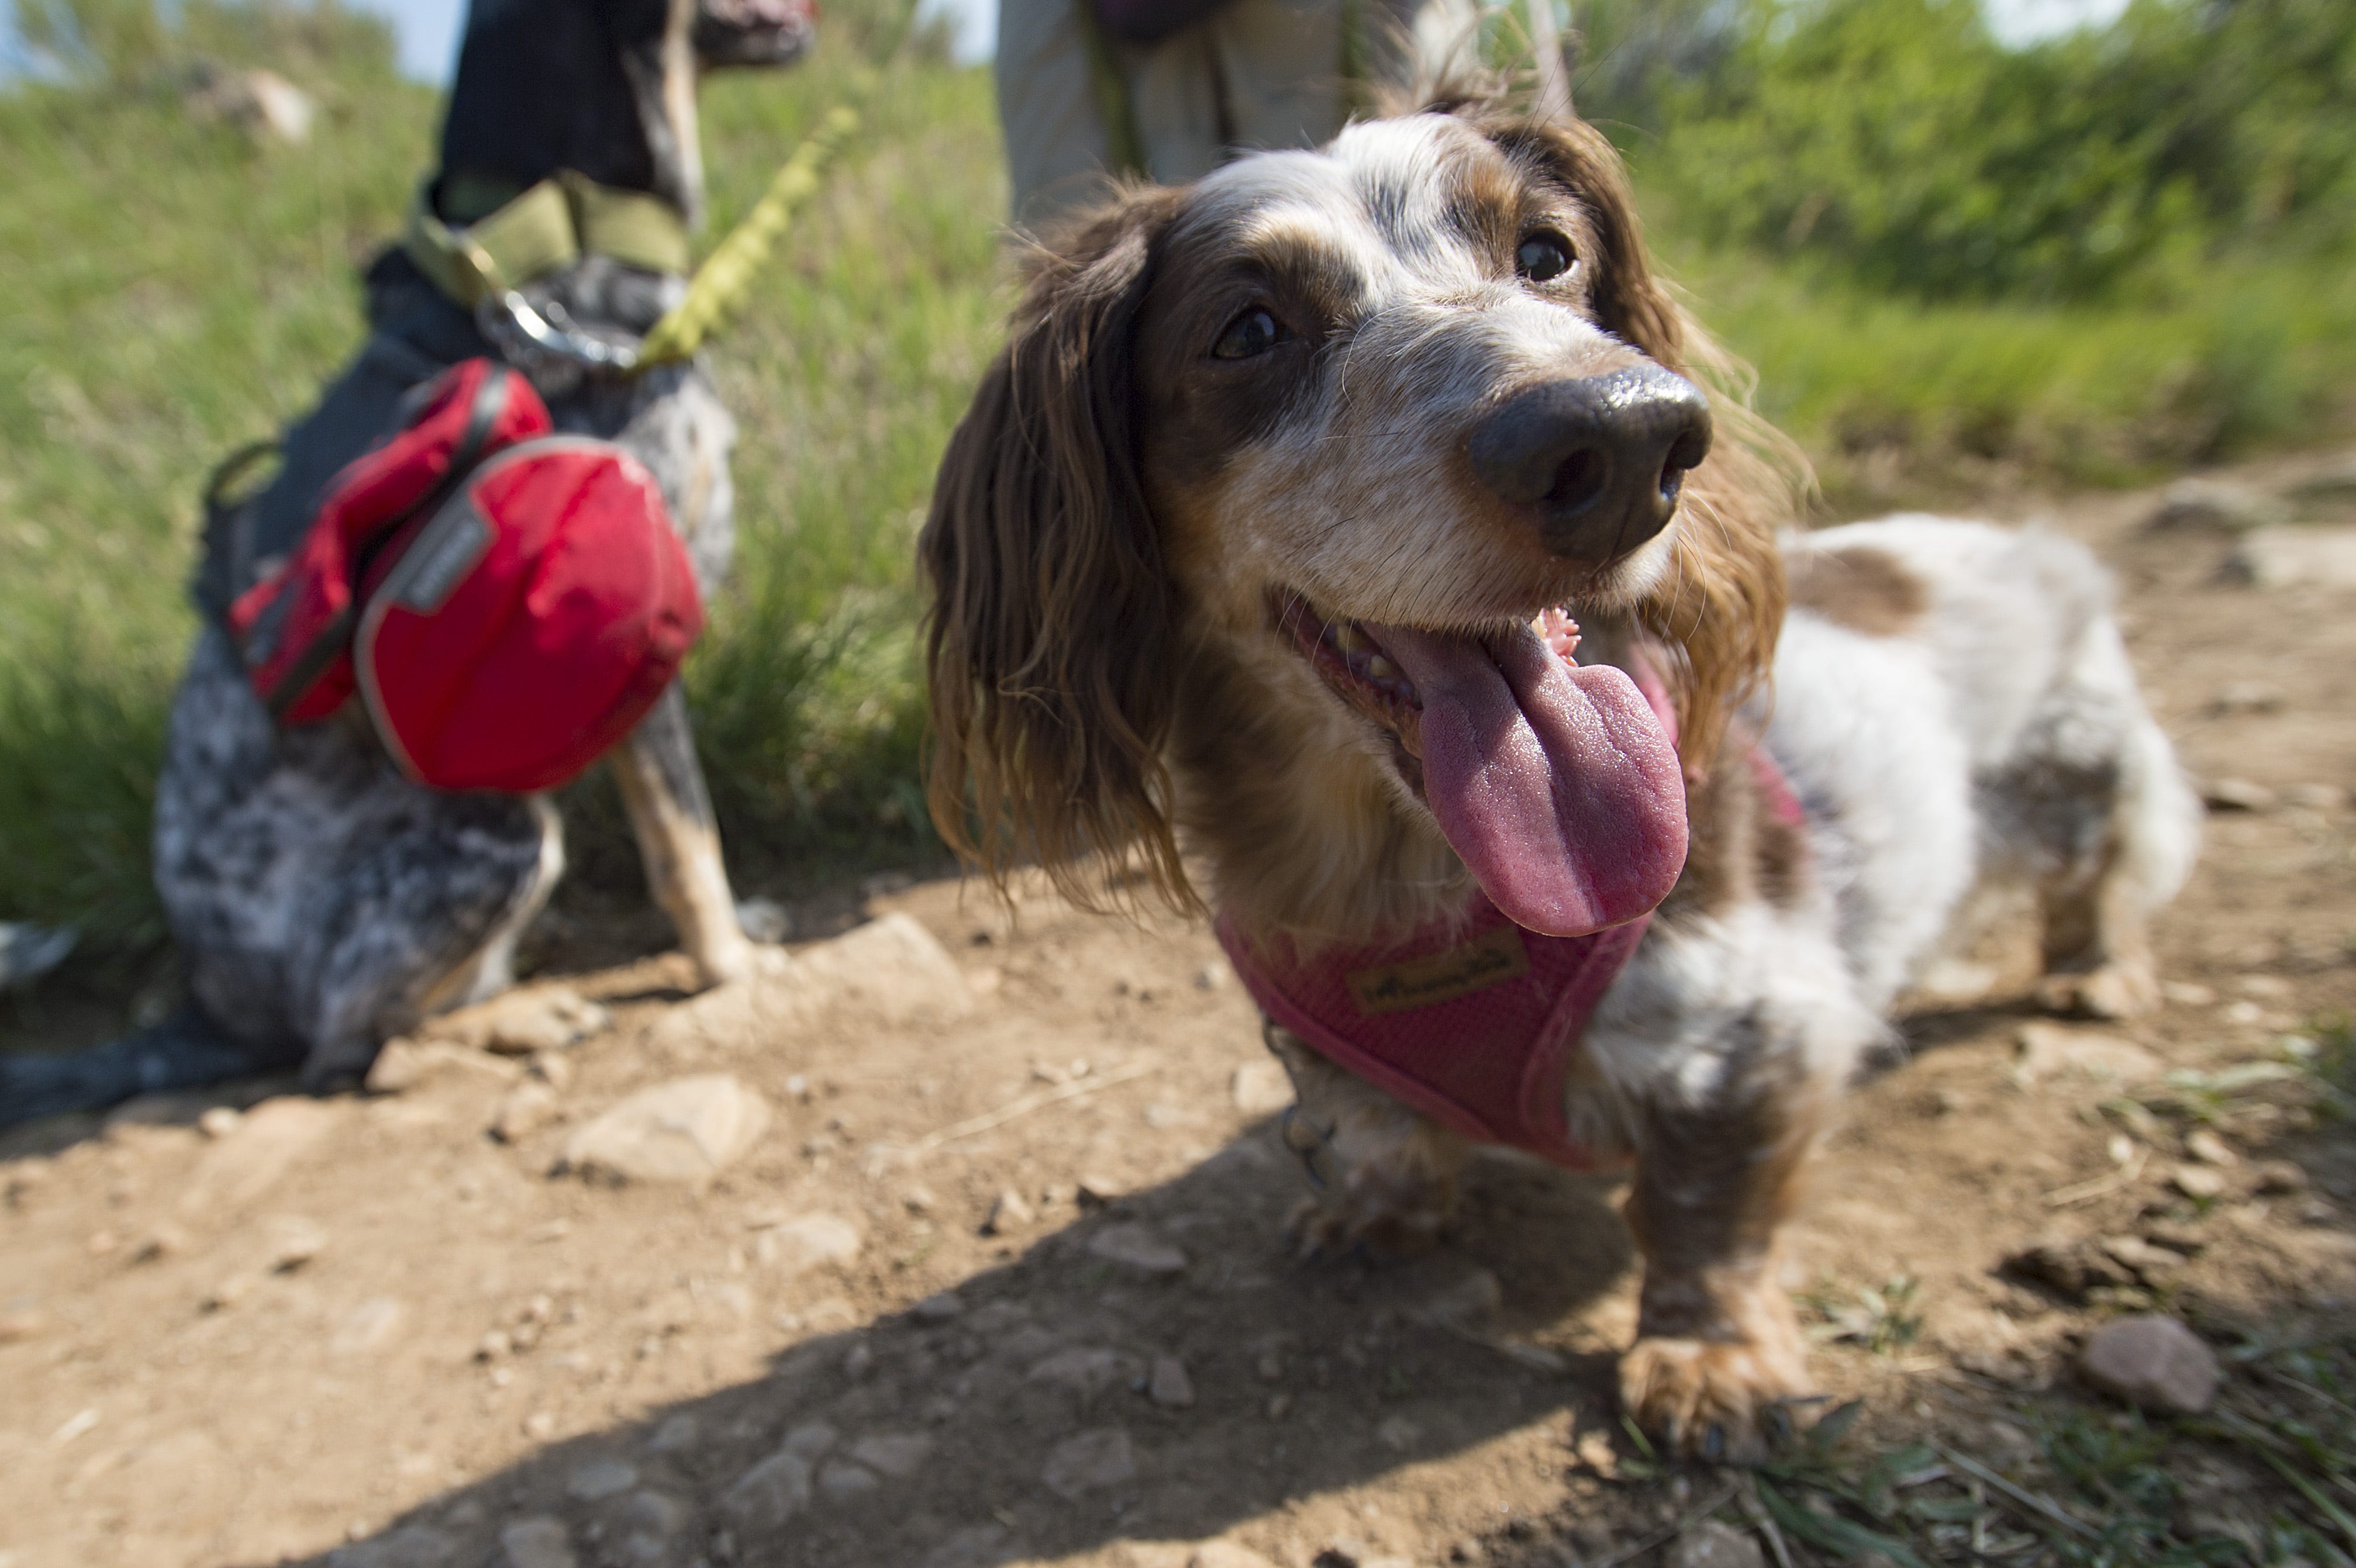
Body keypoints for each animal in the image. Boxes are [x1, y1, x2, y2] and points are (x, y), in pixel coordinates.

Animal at [914, 95, 2186, 1450]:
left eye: (1546, 254)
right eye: (1246, 328)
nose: (1627, 437)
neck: (1410, 887)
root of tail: (2008, 537)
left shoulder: (1759, 1026)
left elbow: (1707, 1210)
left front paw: (1707, 1359)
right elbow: (1388, 1137)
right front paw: (1375, 1207)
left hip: (2081, 773)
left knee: (2100, 872)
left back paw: (2093, 972)